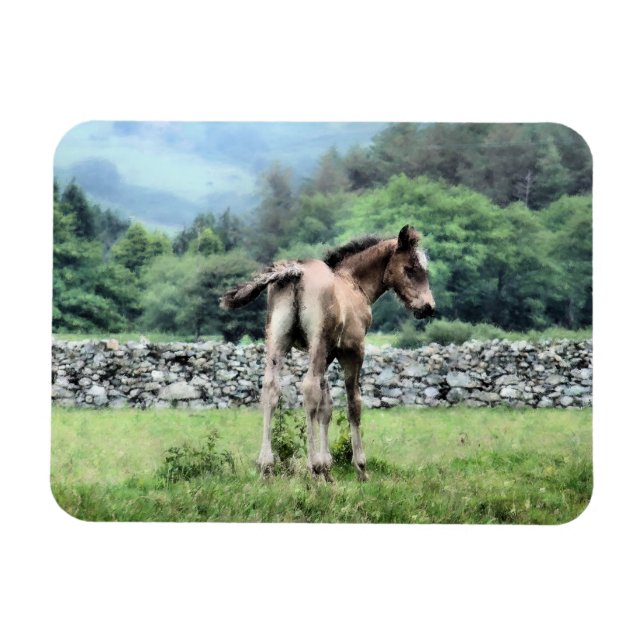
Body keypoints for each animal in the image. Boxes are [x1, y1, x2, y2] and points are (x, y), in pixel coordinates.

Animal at [220, 225, 435, 481]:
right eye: (411, 269)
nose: (428, 307)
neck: (354, 283)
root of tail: (295, 272)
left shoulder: (328, 353)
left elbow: (326, 407)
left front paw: (327, 469)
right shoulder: (351, 350)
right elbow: (353, 403)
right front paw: (359, 468)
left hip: (277, 339)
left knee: (271, 388)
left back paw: (266, 466)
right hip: (318, 341)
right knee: (309, 388)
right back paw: (311, 466)